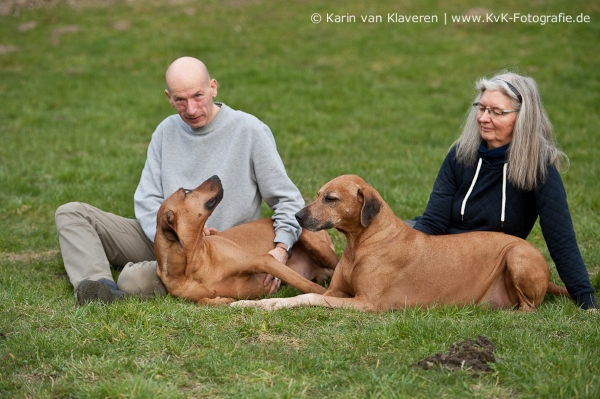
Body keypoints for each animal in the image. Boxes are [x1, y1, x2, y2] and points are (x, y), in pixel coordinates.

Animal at [152, 176, 340, 306]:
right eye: (186, 192)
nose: (216, 176)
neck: (194, 265)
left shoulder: (265, 261)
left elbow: (307, 286)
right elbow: (202, 301)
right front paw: (221, 300)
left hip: (314, 243)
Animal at [232, 175, 568, 312]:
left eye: (331, 199)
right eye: (317, 195)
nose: (298, 217)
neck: (361, 243)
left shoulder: (366, 302)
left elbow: (309, 297)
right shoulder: (336, 291)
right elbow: (302, 295)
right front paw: (256, 303)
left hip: (518, 255)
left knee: (530, 308)